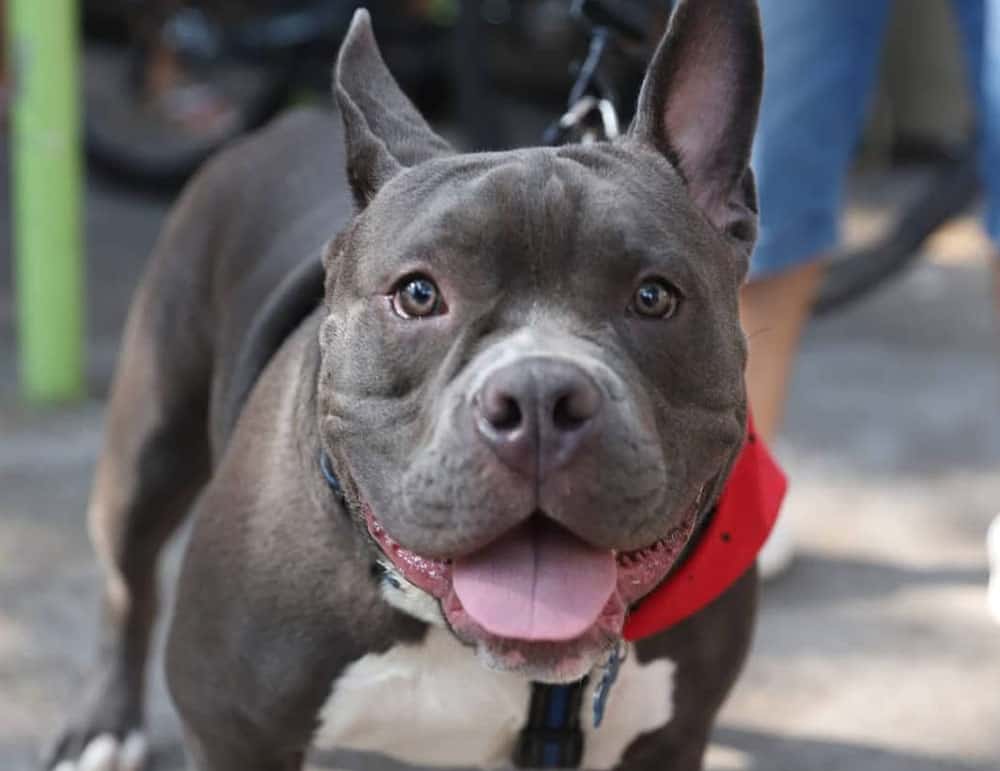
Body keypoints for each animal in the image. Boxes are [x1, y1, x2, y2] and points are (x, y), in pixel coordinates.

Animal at [45, 3, 764, 768]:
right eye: (419, 294)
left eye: (654, 297)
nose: (540, 396)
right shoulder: (231, 727)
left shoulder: (670, 738)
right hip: (149, 443)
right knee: (128, 577)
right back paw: (101, 725)